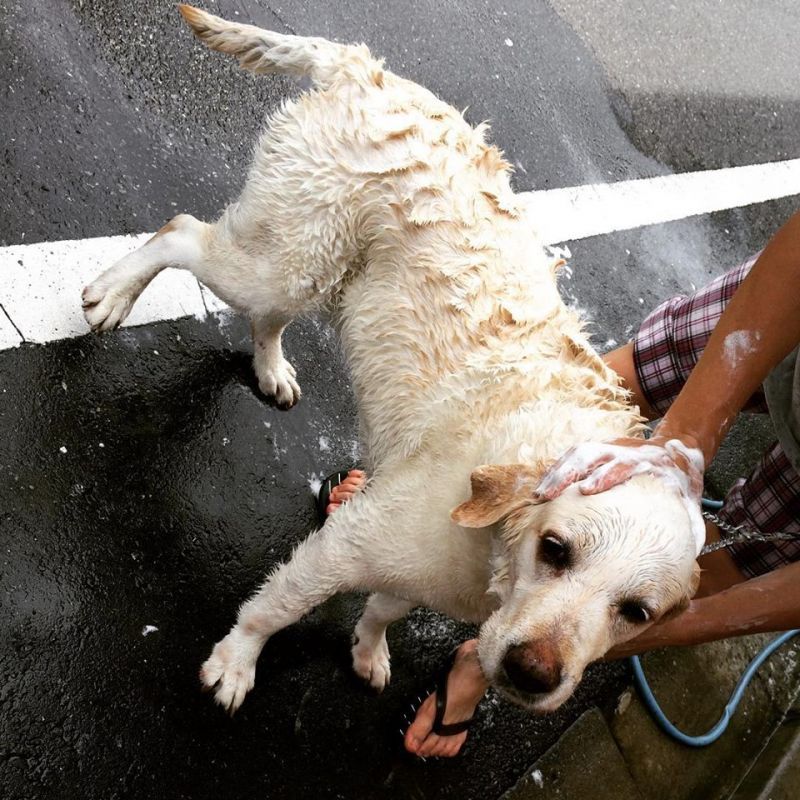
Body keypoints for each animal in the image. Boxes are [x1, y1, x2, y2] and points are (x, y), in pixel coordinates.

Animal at [79, 6, 700, 716]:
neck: (496, 544)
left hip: (311, 266)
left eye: (637, 612)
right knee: (181, 231)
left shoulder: (424, 579)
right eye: (556, 550)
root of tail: (371, 72)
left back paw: (271, 368)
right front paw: (238, 660)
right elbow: (278, 606)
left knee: (265, 314)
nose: (533, 673)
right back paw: (113, 295)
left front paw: (369, 650)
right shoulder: (351, 542)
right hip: (283, 260)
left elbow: (383, 608)